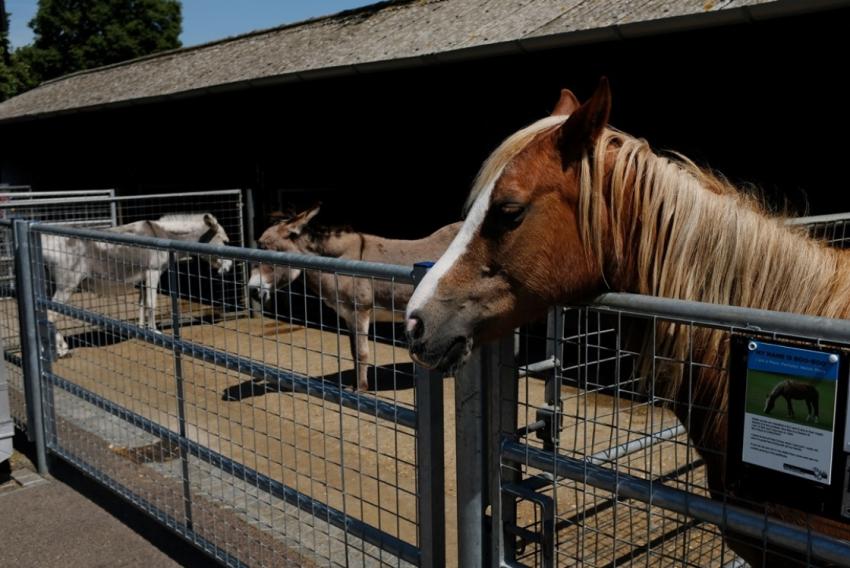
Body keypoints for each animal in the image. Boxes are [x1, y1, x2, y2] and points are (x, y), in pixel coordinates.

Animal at [42, 213, 233, 357]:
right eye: (225, 242)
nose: (229, 268)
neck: (163, 235)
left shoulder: (142, 279)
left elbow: (141, 304)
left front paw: (142, 331)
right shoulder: (153, 272)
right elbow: (151, 304)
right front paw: (155, 332)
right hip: (67, 285)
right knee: (50, 314)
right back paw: (62, 349)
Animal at [248, 204, 460, 391]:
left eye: (271, 251)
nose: (251, 291)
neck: (341, 263)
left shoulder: (360, 312)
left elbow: (362, 352)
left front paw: (361, 389)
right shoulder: (348, 316)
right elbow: (353, 352)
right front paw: (355, 386)